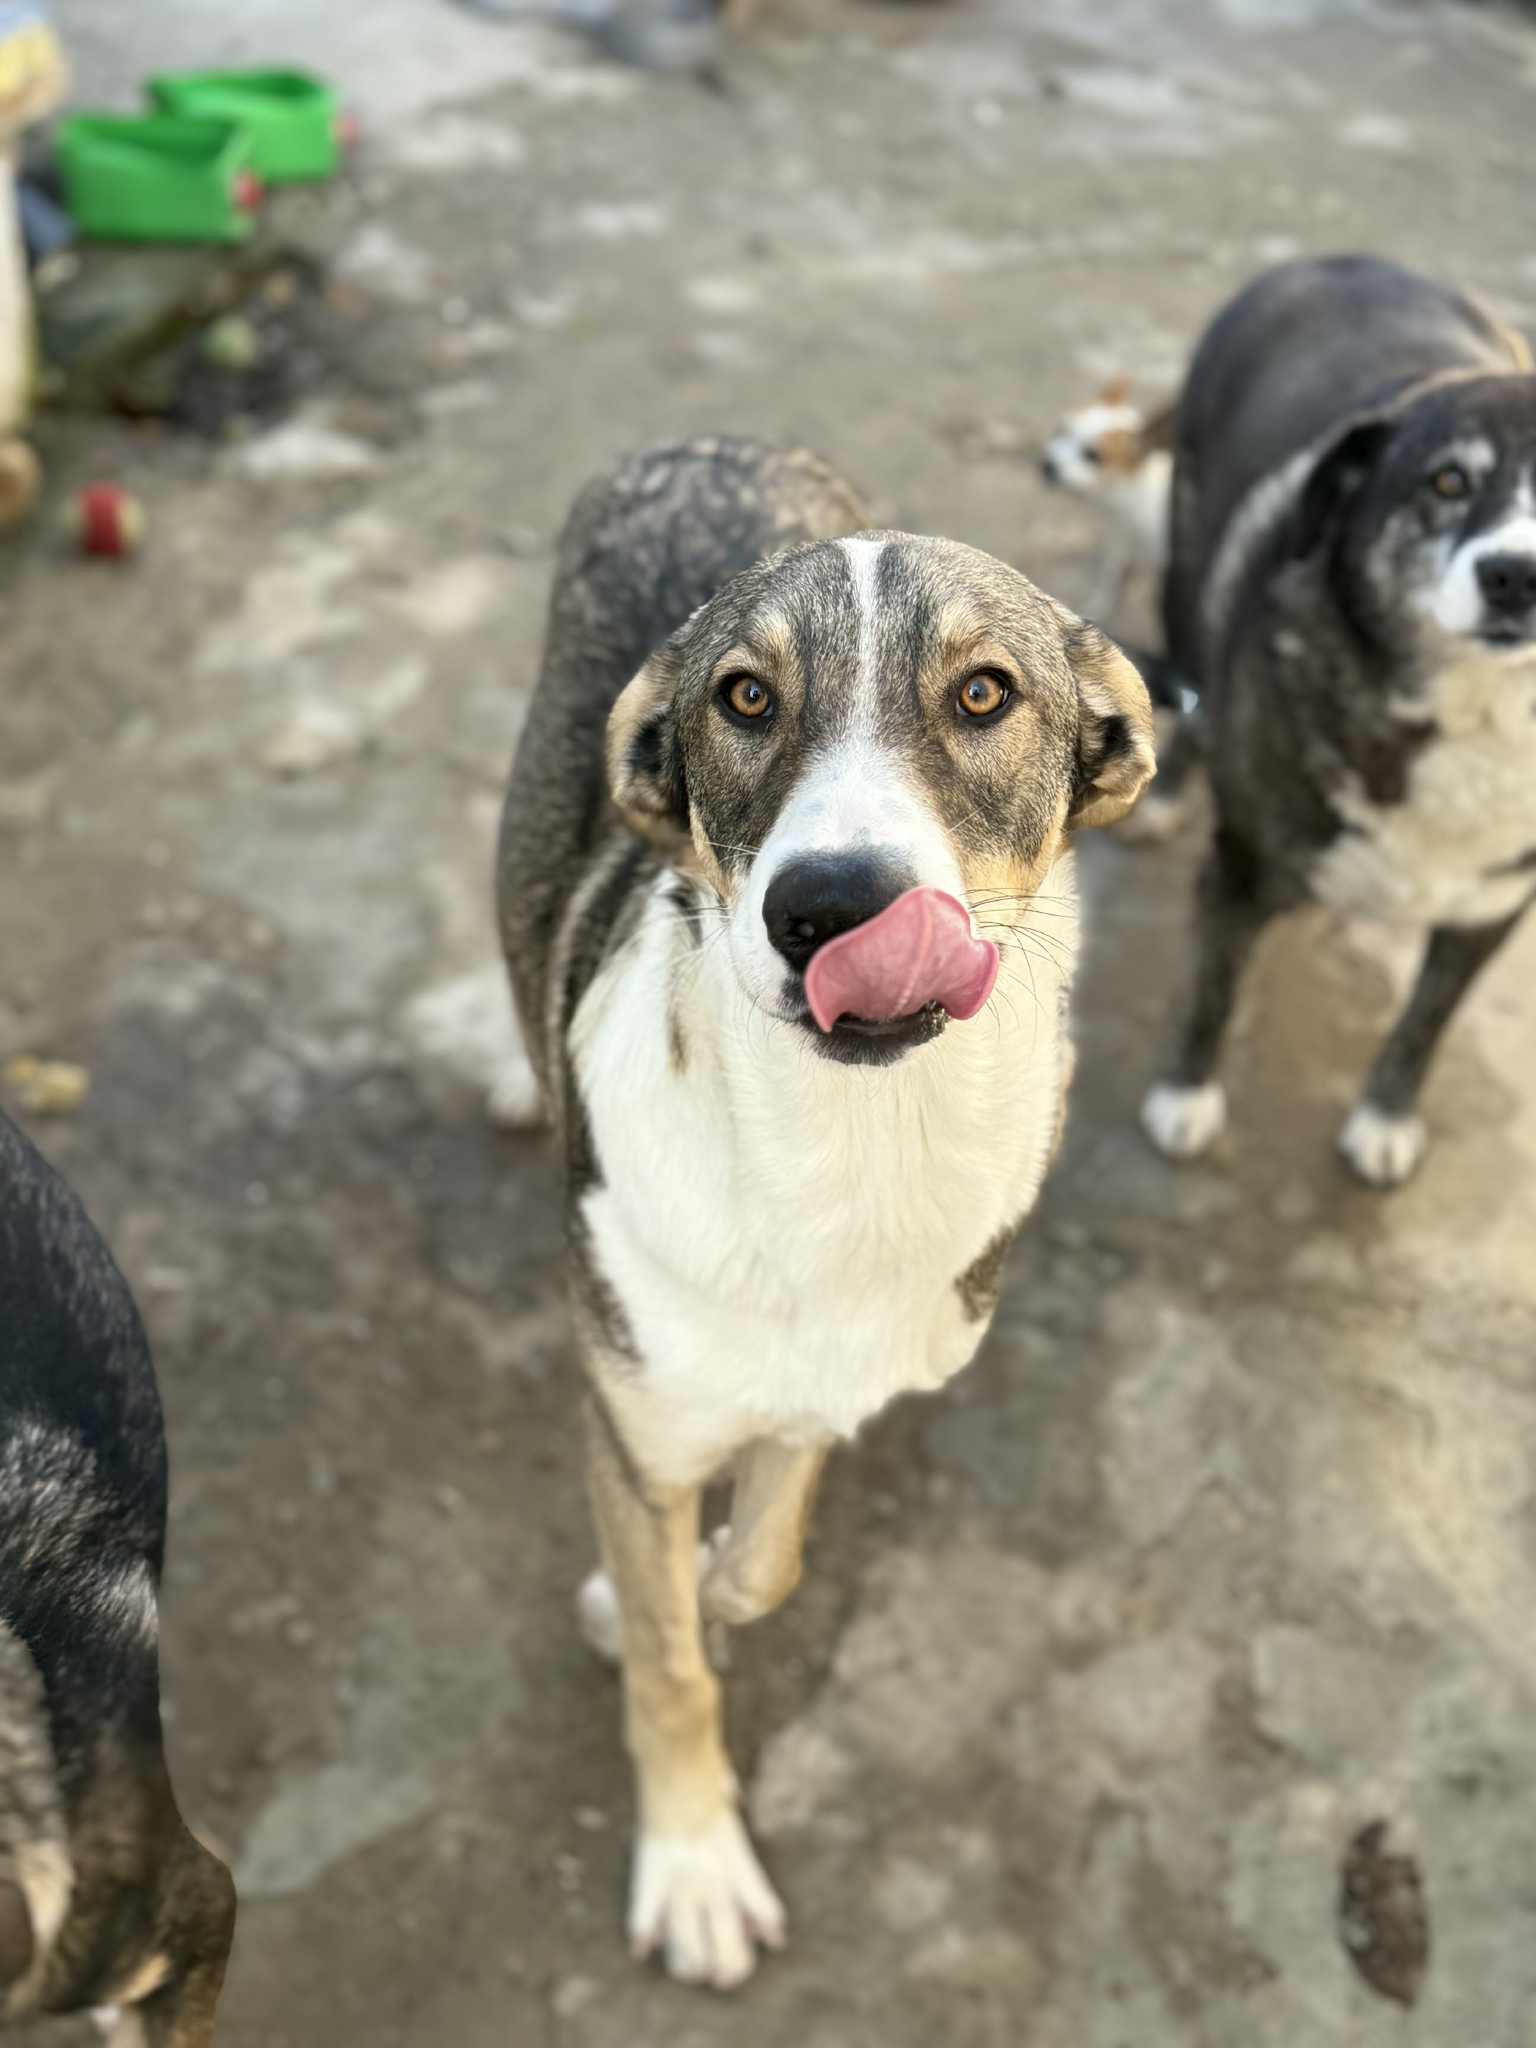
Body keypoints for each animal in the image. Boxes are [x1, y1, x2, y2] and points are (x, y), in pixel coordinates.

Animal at [496, 434, 1155, 1986]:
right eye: (745, 697)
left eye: (985, 694)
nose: (832, 906)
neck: (853, 1153)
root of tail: (709, 440)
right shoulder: (632, 1415)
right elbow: (675, 1660)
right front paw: (693, 1862)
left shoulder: (839, 1380)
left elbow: (768, 1553)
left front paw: (706, 1571)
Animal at [1141, 252, 1536, 1187]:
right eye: (1448, 481)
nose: (1518, 577)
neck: (1469, 720)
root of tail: (1336, 259)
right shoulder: (1240, 874)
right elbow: (1212, 994)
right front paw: (1186, 1097)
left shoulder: (1489, 912)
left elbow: (1425, 1024)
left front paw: (1385, 1117)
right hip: (1181, 572)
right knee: (1190, 686)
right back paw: (1167, 793)